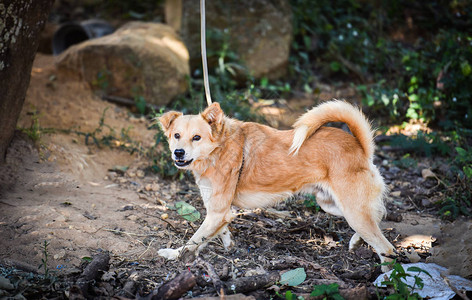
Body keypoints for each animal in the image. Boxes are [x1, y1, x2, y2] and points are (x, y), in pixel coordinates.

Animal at [158, 100, 394, 270]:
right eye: (177, 135)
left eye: (196, 137)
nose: (178, 152)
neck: (220, 146)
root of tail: (360, 147)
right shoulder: (220, 212)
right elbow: (213, 233)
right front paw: (227, 245)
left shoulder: (216, 212)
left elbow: (194, 239)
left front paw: (174, 254)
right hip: (333, 205)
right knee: (377, 216)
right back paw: (357, 242)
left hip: (353, 212)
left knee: (387, 248)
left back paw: (386, 279)